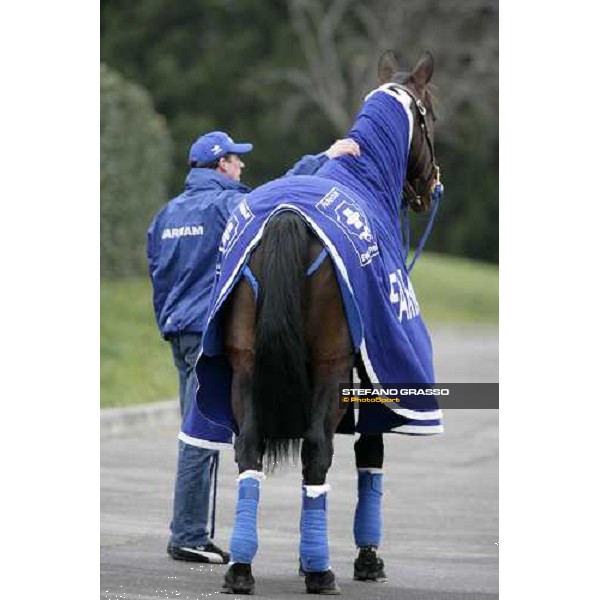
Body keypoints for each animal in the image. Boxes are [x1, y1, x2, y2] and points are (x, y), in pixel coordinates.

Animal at [220, 51, 440, 596]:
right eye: (431, 115)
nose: (430, 185)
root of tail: (286, 216)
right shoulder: (363, 375)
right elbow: (370, 452)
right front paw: (365, 559)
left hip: (245, 368)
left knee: (249, 446)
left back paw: (242, 566)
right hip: (330, 367)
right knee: (318, 450)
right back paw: (321, 571)